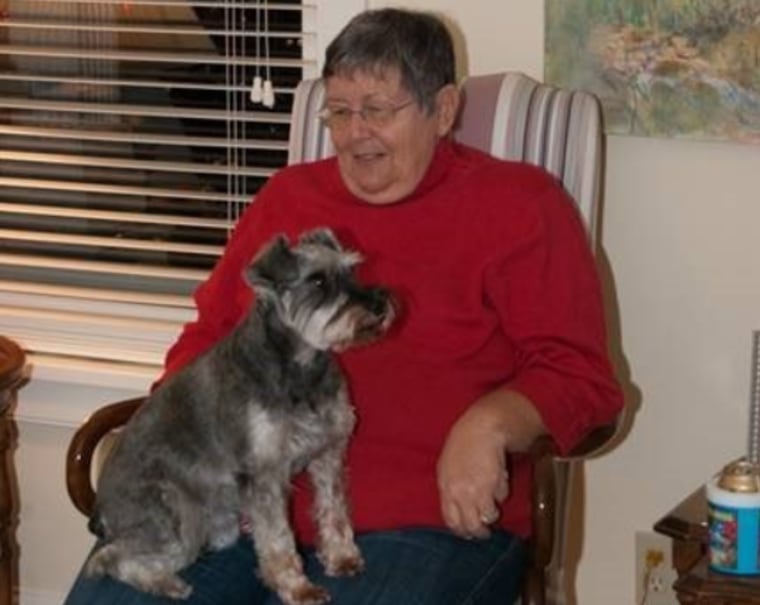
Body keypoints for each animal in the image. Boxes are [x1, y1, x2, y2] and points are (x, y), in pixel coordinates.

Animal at [88, 228, 394, 604]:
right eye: (318, 281)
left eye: (352, 271)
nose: (379, 304)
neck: (301, 367)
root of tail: (102, 511)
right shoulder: (265, 474)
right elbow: (278, 538)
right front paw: (298, 587)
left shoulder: (328, 453)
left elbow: (333, 509)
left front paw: (342, 557)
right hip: (178, 520)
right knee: (112, 557)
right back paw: (167, 583)